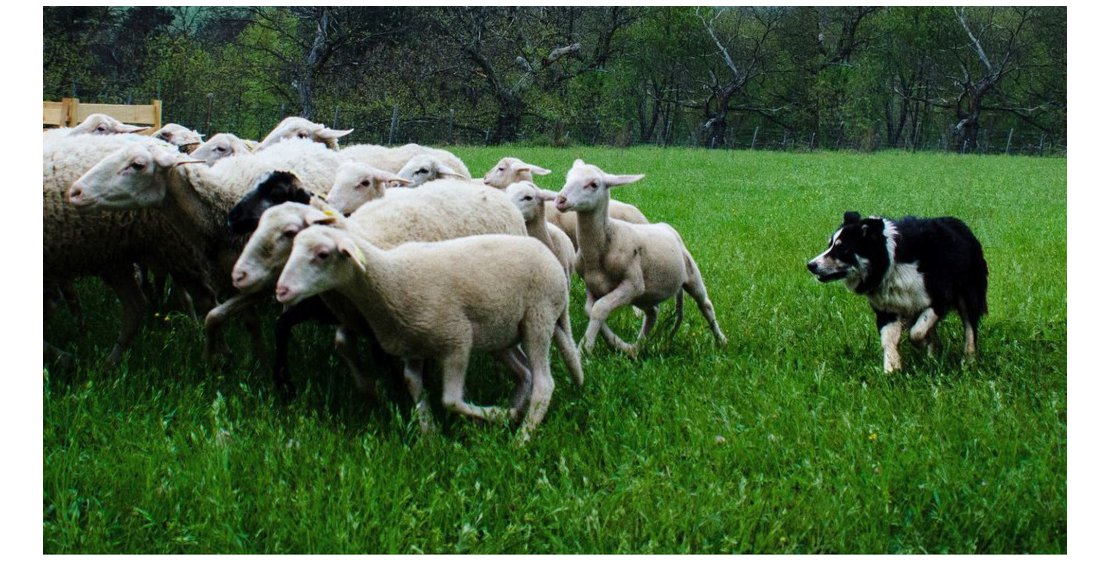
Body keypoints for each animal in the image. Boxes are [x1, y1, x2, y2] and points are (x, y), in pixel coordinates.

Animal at [275, 225, 581, 444]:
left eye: (323, 254)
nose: (281, 290)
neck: (391, 280)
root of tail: (550, 257)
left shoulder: (457, 339)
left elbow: (451, 400)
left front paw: (495, 414)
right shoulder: (412, 346)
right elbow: (413, 385)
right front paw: (429, 435)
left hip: (538, 318)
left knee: (543, 383)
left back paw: (522, 436)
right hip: (500, 333)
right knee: (525, 372)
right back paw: (515, 413)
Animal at [555, 157, 728, 355]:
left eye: (593, 184)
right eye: (567, 178)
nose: (560, 200)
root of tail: (665, 226)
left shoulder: (633, 284)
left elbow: (599, 309)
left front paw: (584, 349)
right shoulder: (593, 285)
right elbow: (589, 310)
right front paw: (613, 342)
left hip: (688, 274)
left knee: (705, 304)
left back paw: (721, 340)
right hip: (646, 295)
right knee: (652, 314)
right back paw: (634, 348)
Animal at [808, 211, 990, 373]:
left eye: (842, 248)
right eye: (830, 245)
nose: (810, 265)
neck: (889, 264)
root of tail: (962, 226)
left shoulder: (941, 295)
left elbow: (916, 332)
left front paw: (918, 344)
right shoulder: (887, 308)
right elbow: (889, 339)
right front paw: (891, 371)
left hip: (969, 292)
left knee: (969, 327)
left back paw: (969, 360)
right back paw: (934, 357)